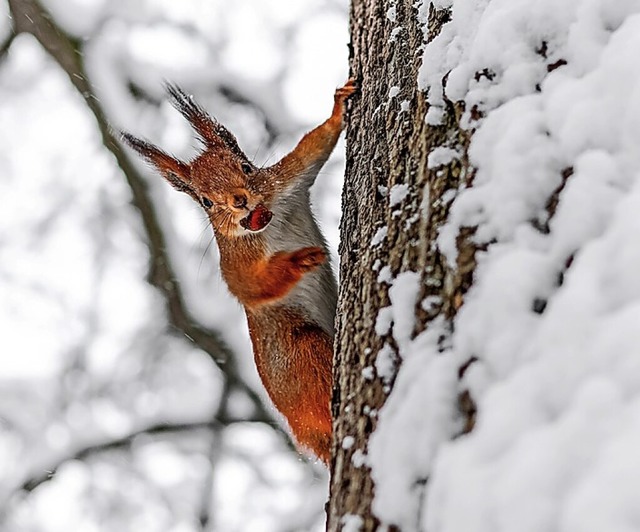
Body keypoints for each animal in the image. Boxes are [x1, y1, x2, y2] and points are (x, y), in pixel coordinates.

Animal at [122, 80, 358, 466]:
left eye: (246, 168)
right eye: (205, 201)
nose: (240, 201)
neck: (265, 224)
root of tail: (305, 433)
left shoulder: (286, 182)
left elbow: (313, 148)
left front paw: (339, 107)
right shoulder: (234, 263)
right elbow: (249, 287)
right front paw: (300, 260)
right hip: (300, 356)